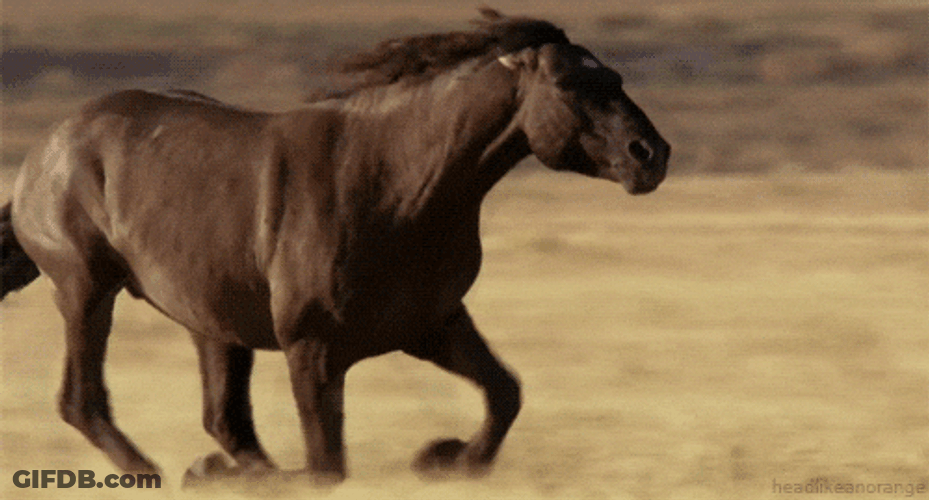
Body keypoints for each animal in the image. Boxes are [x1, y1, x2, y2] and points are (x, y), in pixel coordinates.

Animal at [0, 8, 669, 485]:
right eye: (568, 82)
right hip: (87, 289)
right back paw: (164, 473)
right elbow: (327, 467)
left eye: (614, 77)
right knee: (82, 401)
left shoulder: (430, 324)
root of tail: (46, 150)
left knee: (224, 419)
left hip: (211, 321)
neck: (398, 187)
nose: (651, 155)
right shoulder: (313, 347)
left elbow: (505, 394)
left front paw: (444, 456)